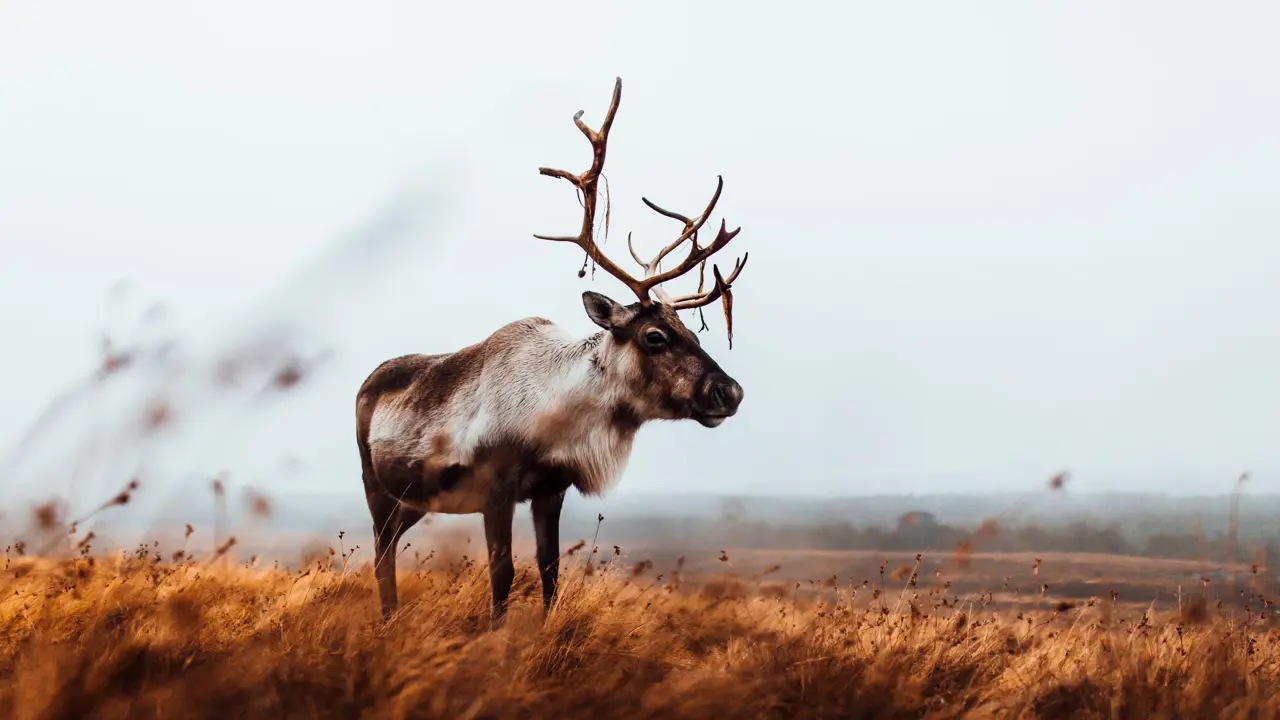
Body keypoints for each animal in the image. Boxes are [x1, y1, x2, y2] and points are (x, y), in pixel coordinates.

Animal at [355, 77, 748, 626]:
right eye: (654, 335)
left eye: (692, 330)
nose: (729, 392)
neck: (557, 410)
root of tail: (367, 381)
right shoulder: (494, 490)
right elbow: (502, 575)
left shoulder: (549, 490)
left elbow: (550, 570)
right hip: (379, 490)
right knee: (381, 554)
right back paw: (388, 619)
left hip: (414, 501)